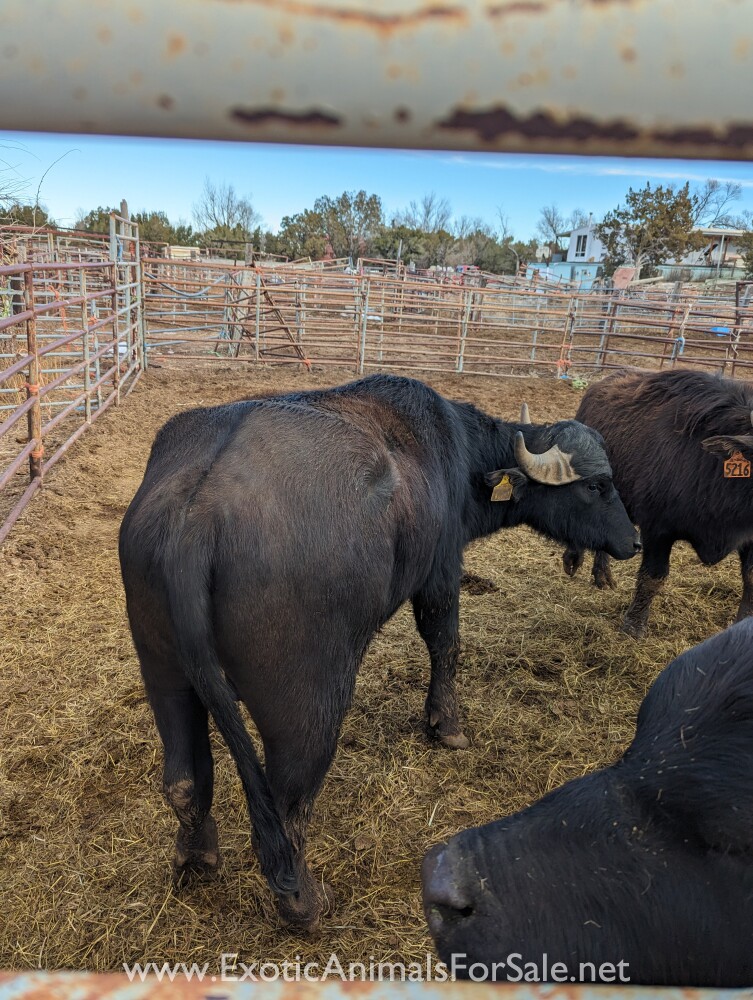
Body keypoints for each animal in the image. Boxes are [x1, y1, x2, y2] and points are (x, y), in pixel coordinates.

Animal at [119, 373, 638, 928]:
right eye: (597, 485)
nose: (633, 541)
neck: (454, 453)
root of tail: (198, 515)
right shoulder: (441, 570)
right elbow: (445, 642)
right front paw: (446, 725)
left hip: (165, 675)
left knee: (184, 781)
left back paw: (197, 858)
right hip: (308, 701)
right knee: (287, 801)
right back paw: (303, 902)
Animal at [563, 369, 753, 636]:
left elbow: (751, 580)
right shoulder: (658, 529)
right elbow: (652, 577)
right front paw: (633, 627)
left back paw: (603, 578)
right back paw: (574, 560)